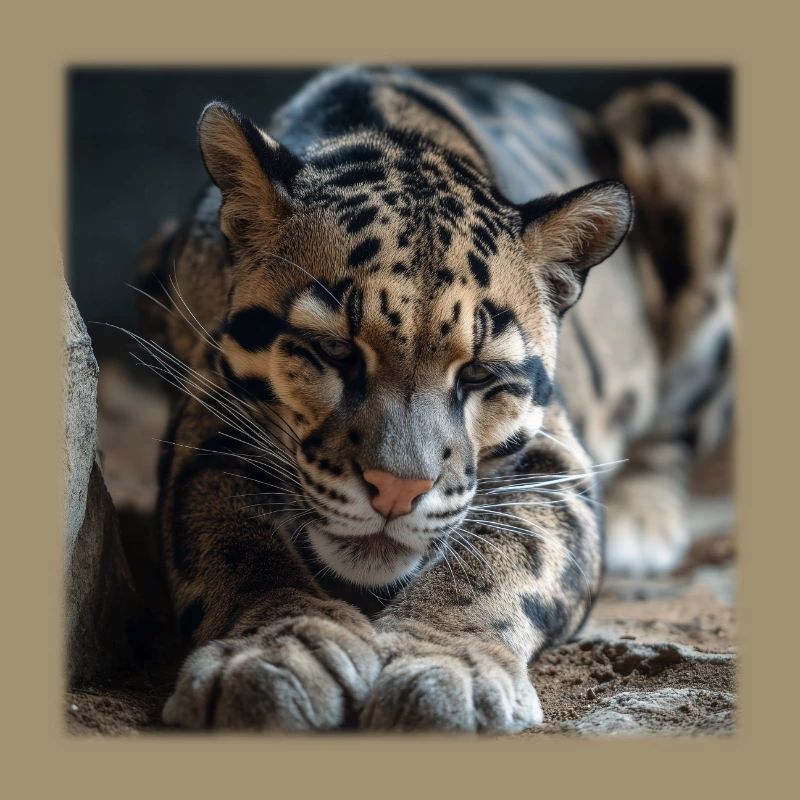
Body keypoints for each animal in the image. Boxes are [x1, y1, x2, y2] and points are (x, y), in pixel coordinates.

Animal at [134, 65, 735, 732]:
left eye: (477, 374)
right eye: (335, 351)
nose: (398, 491)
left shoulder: (555, 453)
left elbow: (509, 549)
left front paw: (446, 662)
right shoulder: (207, 415)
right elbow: (231, 536)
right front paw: (277, 649)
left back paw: (640, 520)